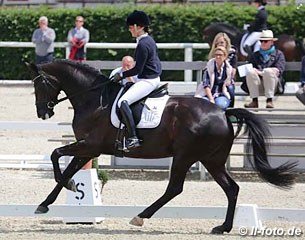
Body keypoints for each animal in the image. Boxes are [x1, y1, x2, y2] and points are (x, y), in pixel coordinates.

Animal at [25, 60, 294, 234]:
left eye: (40, 85)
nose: (42, 113)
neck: (93, 99)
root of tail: (223, 112)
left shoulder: (90, 145)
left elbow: (56, 155)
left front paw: (67, 188)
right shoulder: (88, 149)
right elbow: (67, 168)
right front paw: (47, 202)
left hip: (185, 155)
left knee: (175, 188)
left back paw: (140, 217)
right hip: (212, 160)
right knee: (232, 188)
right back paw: (223, 227)